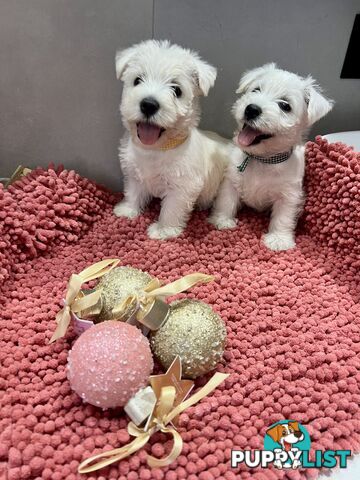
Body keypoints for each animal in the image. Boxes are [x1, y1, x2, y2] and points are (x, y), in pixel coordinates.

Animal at [113, 39, 231, 240]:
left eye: (177, 90)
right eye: (137, 80)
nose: (148, 104)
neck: (156, 149)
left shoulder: (182, 186)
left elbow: (171, 209)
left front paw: (163, 230)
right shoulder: (134, 173)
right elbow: (133, 192)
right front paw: (127, 210)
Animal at [210, 62, 334, 251]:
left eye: (285, 106)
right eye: (256, 90)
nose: (251, 109)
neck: (262, 159)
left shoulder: (289, 195)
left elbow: (283, 217)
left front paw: (278, 240)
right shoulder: (231, 179)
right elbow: (226, 200)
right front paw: (222, 220)